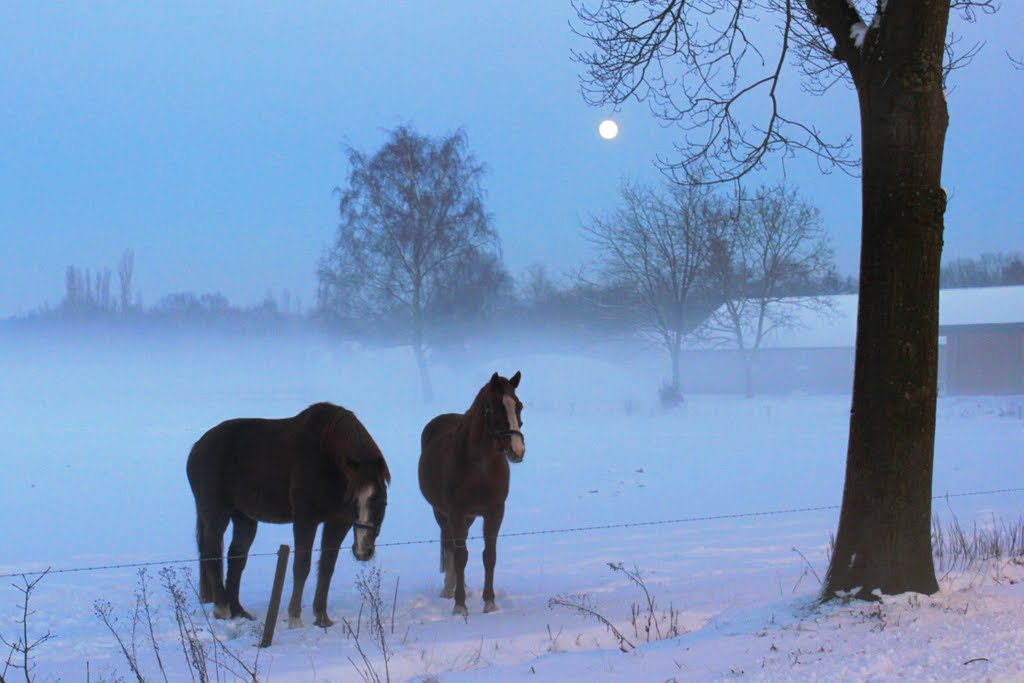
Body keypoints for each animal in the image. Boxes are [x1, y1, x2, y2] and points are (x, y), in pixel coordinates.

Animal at [186, 401, 389, 630]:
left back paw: (238, 610)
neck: (328, 459)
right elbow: (301, 566)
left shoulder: (338, 522)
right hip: (215, 514)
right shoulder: (305, 520)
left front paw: (322, 618)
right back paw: (222, 608)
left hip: (244, 518)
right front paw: (295, 618)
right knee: (211, 553)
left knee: (236, 557)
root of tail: (197, 448)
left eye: (380, 501)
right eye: (355, 500)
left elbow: (326, 567)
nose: (363, 552)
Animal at [417, 370, 528, 618]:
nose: (517, 450)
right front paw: (460, 605)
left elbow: (489, 556)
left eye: (519, 406)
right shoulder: (456, 513)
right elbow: (460, 557)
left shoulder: (494, 512)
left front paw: (490, 602)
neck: (480, 468)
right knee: (450, 545)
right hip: (442, 514)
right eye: (495, 408)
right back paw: (450, 588)